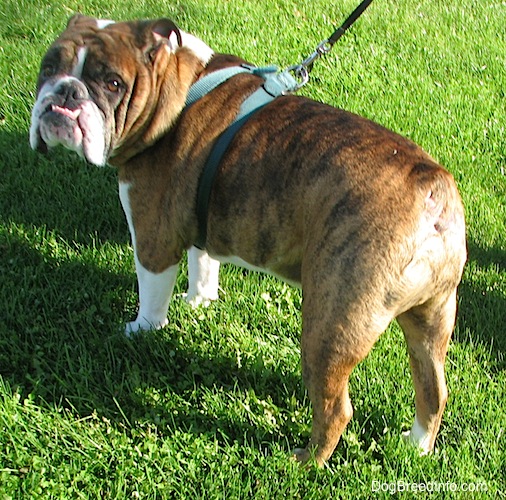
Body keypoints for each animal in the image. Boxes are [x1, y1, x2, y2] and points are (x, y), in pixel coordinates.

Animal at [30, 16, 466, 468]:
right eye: (48, 68)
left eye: (113, 83)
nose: (65, 93)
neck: (181, 88)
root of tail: (432, 190)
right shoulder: (201, 222)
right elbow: (203, 264)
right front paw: (198, 300)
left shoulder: (153, 236)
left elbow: (151, 293)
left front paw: (140, 331)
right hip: (432, 319)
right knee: (433, 389)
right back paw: (416, 445)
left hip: (331, 326)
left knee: (336, 409)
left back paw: (305, 461)